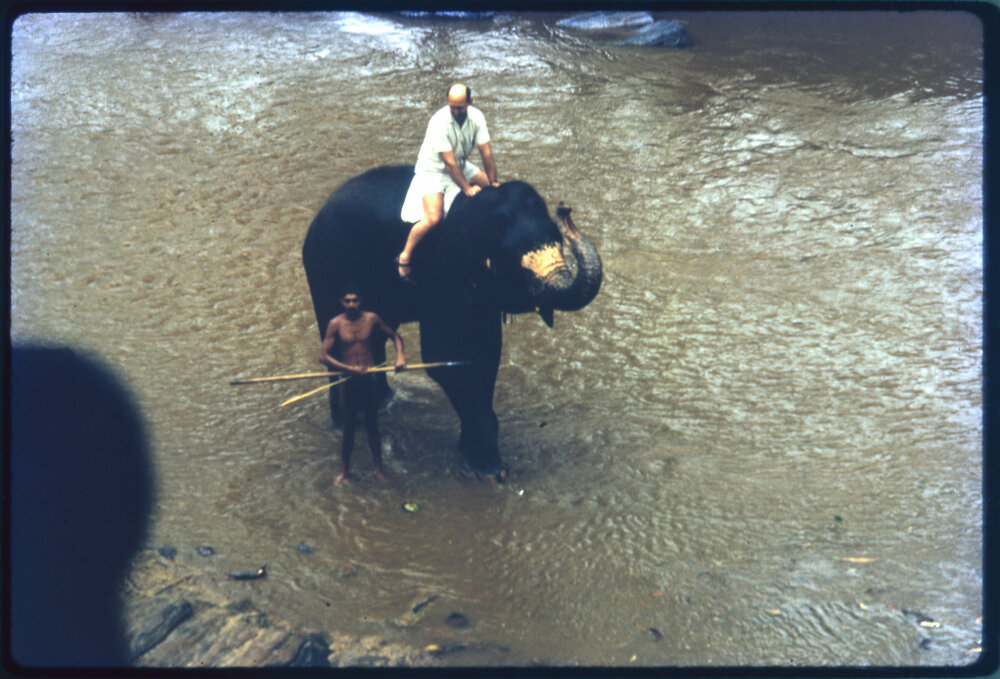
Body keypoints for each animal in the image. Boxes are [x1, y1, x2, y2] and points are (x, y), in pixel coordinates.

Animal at [302, 165, 602, 479]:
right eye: (510, 259)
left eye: (558, 238)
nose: (565, 208)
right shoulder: (442, 272)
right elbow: (444, 359)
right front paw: (493, 471)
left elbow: (485, 356)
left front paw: (468, 454)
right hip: (326, 271)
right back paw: (343, 423)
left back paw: (385, 401)